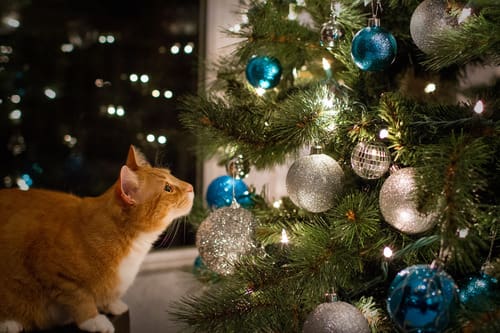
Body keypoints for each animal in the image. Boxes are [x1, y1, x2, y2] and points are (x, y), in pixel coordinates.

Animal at [0, 146, 193, 332]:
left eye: (171, 174)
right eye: (168, 188)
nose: (191, 186)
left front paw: (112, 304)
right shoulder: (55, 273)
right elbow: (79, 298)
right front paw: (92, 319)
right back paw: (9, 323)